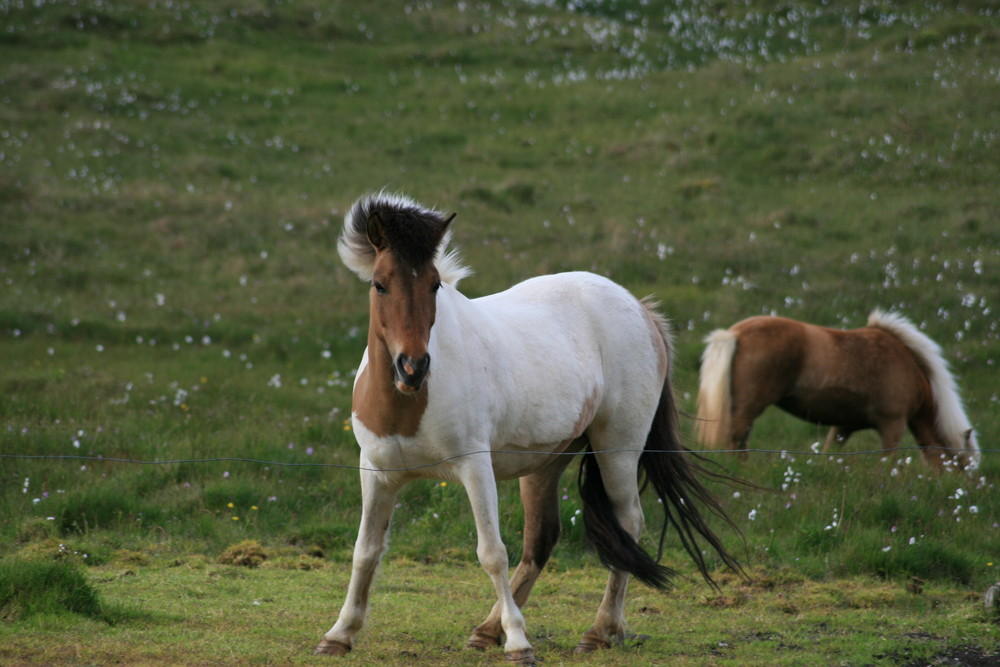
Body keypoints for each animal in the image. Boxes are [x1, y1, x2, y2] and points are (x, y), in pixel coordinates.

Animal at [316, 192, 748, 664]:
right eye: (380, 284)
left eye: (434, 285)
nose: (413, 367)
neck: (407, 405)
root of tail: (640, 308)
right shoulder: (376, 474)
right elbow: (365, 553)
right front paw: (339, 634)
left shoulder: (475, 468)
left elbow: (492, 554)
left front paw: (520, 644)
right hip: (546, 463)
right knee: (542, 538)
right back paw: (488, 630)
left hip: (617, 449)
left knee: (628, 523)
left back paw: (599, 631)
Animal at [692, 312, 980, 472]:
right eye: (962, 467)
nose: (963, 492)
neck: (908, 364)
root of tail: (734, 334)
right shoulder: (893, 424)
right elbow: (889, 461)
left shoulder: (843, 426)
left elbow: (830, 453)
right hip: (748, 408)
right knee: (736, 439)